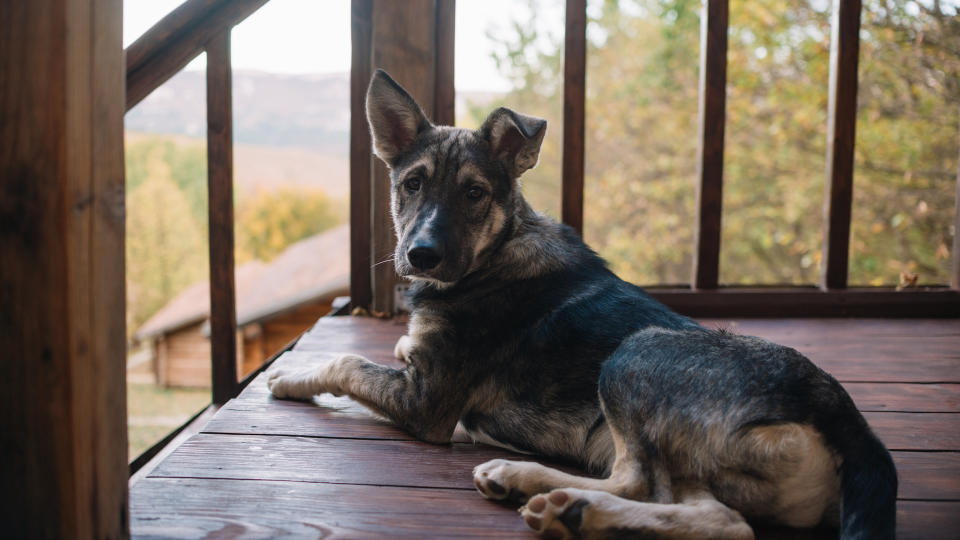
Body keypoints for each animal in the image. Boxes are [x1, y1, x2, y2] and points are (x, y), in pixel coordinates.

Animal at [266, 71, 896, 540]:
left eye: (474, 192)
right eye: (412, 184)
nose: (421, 256)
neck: (497, 249)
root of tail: (843, 416)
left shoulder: (427, 403)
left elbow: (346, 362)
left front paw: (290, 377)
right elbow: (394, 346)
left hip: (636, 357)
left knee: (648, 487)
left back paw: (547, 492)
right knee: (712, 515)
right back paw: (555, 500)